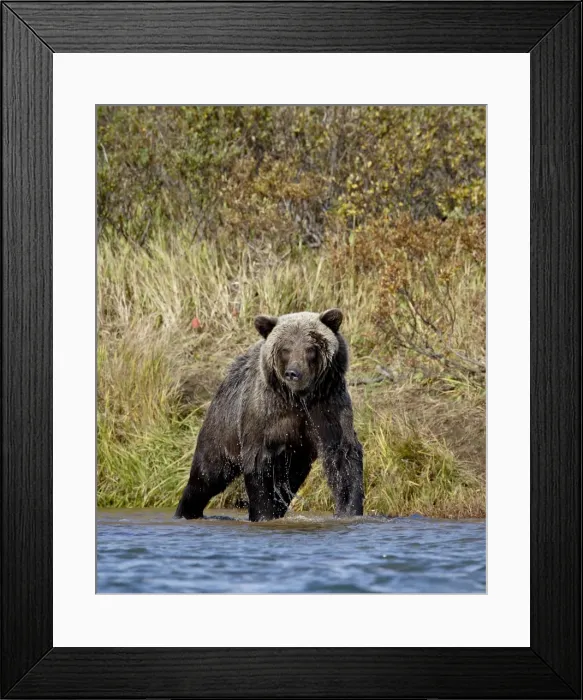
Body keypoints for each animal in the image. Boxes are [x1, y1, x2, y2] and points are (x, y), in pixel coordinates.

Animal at [175, 308, 364, 522]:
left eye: (310, 348)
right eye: (285, 349)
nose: (293, 373)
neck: (298, 399)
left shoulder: (327, 408)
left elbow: (342, 456)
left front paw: (349, 509)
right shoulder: (266, 415)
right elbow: (260, 465)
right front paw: (263, 514)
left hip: (296, 456)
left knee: (287, 482)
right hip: (224, 425)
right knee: (207, 474)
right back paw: (186, 510)